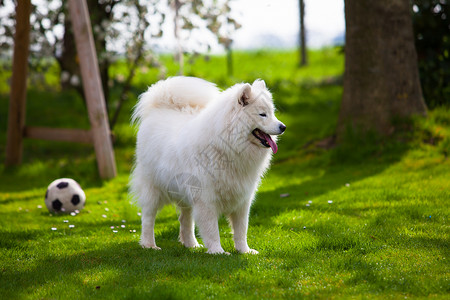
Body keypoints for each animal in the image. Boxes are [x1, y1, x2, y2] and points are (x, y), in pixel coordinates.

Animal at [130, 76, 284, 254]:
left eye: (272, 113)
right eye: (262, 114)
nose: (283, 127)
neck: (226, 147)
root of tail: (158, 109)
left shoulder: (242, 200)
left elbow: (241, 230)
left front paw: (244, 251)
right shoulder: (206, 200)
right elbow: (212, 230)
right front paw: (218, 252)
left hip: (184, 193)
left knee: (185, 219)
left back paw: (191, 244)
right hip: (153, 190)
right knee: (148, 218)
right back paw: (149, 245)